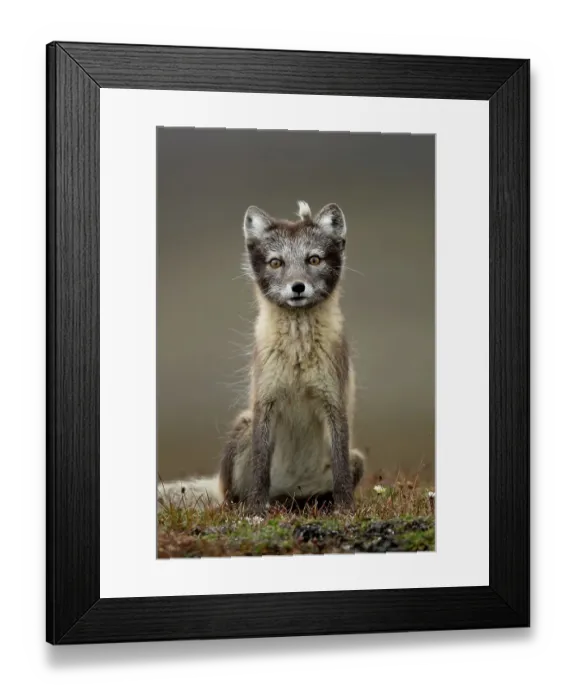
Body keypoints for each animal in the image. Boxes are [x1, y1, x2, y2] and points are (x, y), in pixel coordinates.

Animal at [158, 200, 365, 514]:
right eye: (276, 262)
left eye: (314, 260)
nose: (298, 286)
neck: (297, 353)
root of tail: (292, 487)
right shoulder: (264, 401)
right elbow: (260, 465)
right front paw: (256, 511)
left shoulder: (334, 402)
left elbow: (340, 469)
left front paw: (345, 509)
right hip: (242, 429)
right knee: (230, 497)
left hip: (357, 460)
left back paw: (313, 503)